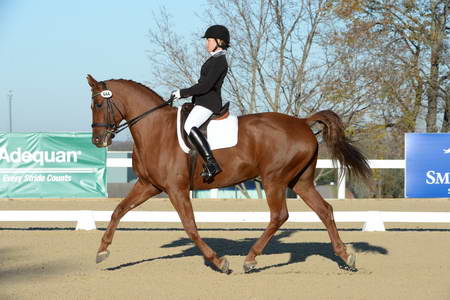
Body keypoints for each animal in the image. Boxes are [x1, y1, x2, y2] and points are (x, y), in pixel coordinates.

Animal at [86, 74, 370, 274]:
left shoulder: (176, 189)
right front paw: (101, 252)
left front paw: (219, 262)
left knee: (279, 215)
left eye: (98, 103)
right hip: (300, 182)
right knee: (324, 210)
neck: (155, 129)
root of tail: (301, 122)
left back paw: (251, 259)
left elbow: (190, 227)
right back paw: (346, 256)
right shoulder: (148, 185)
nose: (98, 141)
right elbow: (118, 211)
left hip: (274, 179)